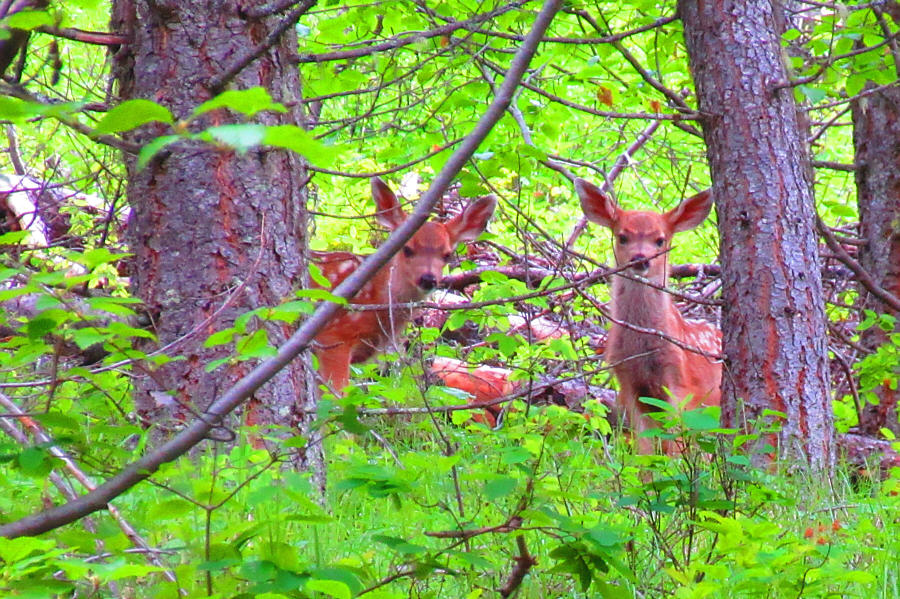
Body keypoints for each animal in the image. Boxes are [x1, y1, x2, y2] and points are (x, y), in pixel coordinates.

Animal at [574, 178, 722, 453]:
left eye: (660, 240)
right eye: (622, 237)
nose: (640, 259)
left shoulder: (680, 386)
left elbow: (675, 446)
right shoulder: (629, 384)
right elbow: (644, 450)